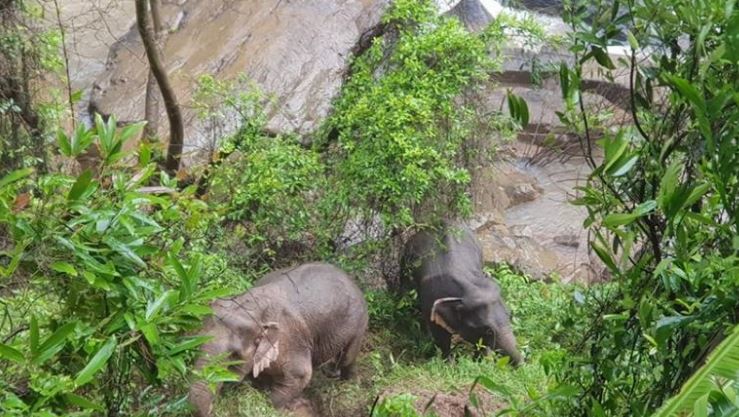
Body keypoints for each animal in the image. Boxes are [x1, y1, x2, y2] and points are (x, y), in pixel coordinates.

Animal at [188, 262, 368, 414]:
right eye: (197, 344)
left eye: (233, 355)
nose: (213, 407)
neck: (251, 308)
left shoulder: (290, 341)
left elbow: (301, 375)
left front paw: (277, 407)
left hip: (359, 322)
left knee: (347, 358)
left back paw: (348, 383)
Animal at [402, 221, 524, 364]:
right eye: (488, 330)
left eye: (510, 316)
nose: (523, 364)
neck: (467, 287)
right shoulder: (429, 302)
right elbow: (440, 337)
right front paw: (449, 363)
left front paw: (477, 362)